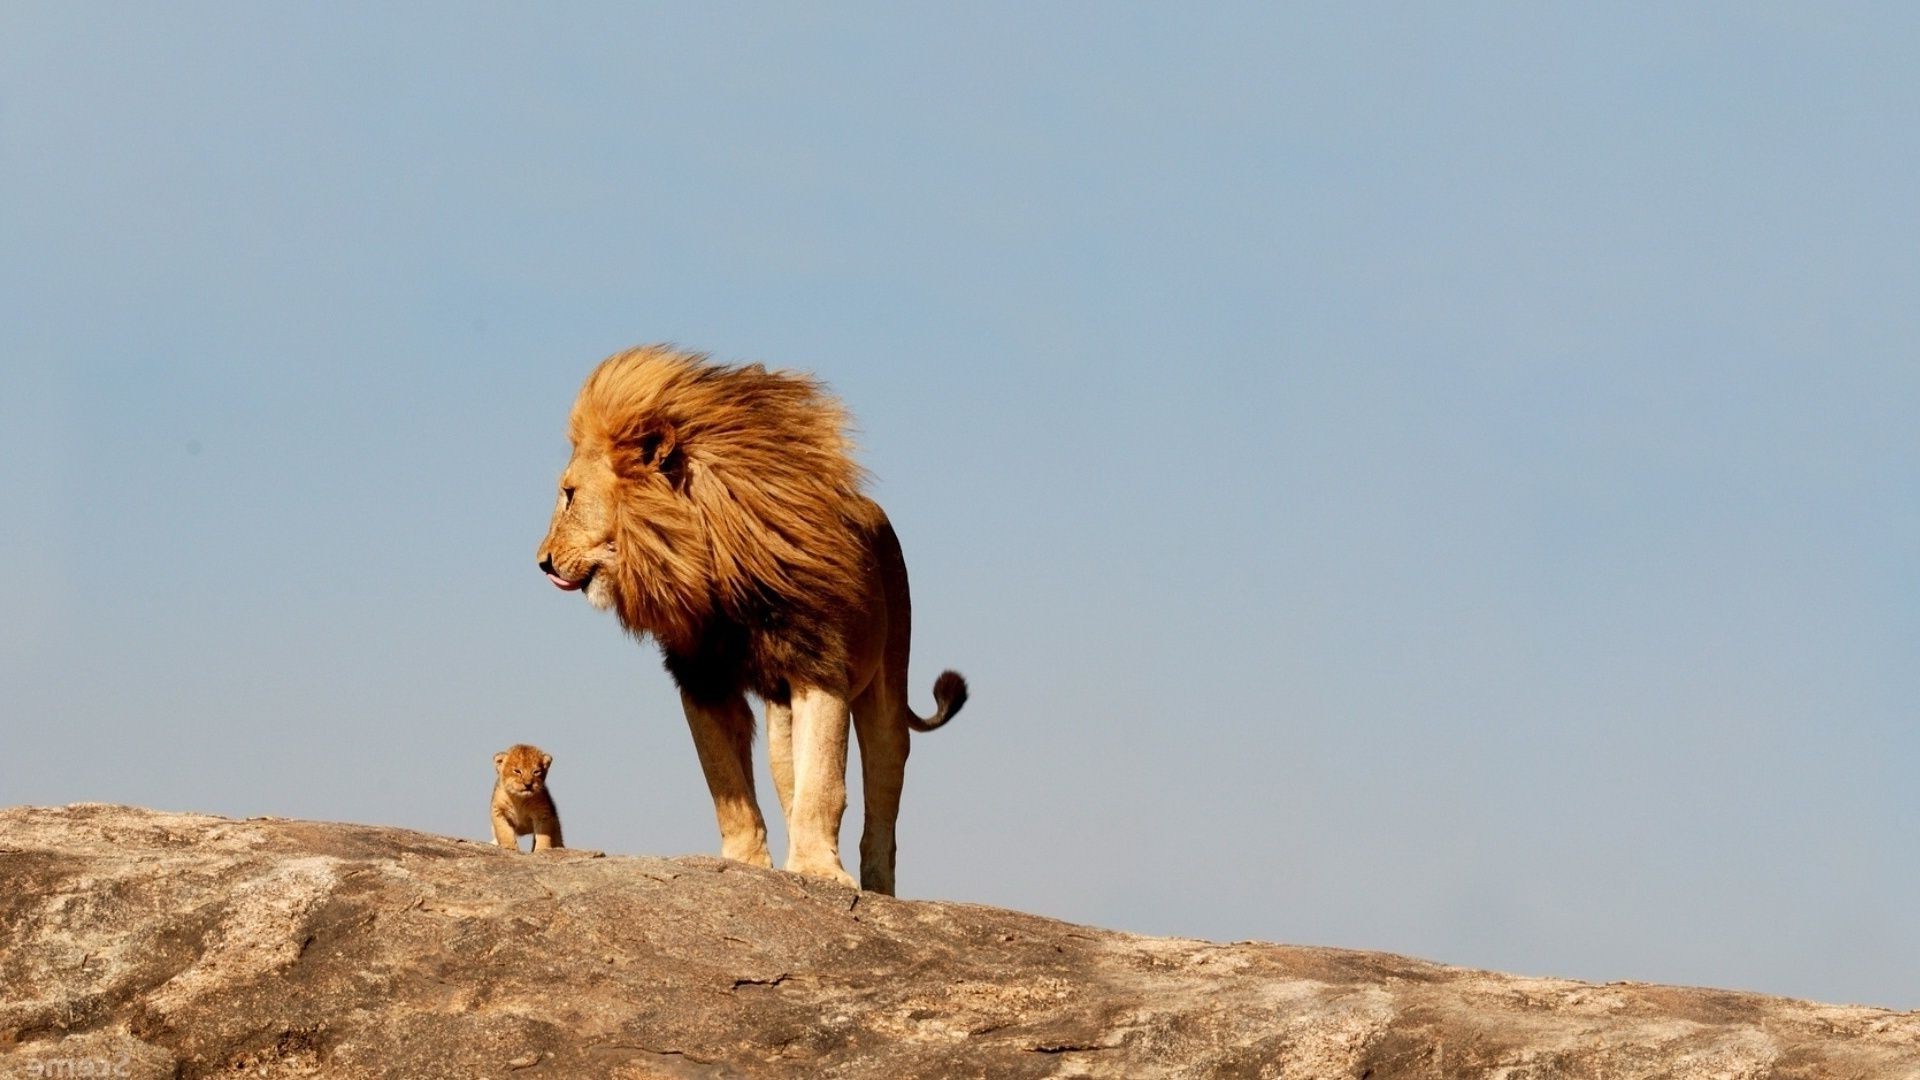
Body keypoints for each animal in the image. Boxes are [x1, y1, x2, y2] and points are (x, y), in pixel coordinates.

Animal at [533, 343, 967, 891]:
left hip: (887, 688)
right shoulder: (703, 679)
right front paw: (747, 864)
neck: (711, 565)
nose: (542, 562)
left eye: (569, 495)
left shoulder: (819, 667)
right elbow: (728, 786)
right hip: (780, 721)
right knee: (788, 779)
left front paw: (818, 871)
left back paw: (877, 888)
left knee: (882, 800)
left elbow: (824, 782)